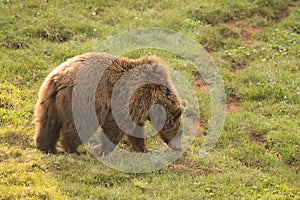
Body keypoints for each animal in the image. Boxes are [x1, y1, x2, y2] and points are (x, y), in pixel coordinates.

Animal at [34, 53, 184, 156]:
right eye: (180, 132)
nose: (179, 148)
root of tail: (60, 77)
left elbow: (135, 129)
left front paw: (146, 148)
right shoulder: (134, 98)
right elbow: (117, 126)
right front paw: (101, 150)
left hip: (49, 99)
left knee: (48, 123)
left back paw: (49, 148)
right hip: (84, 100)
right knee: (80, 126)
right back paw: (74, 150)